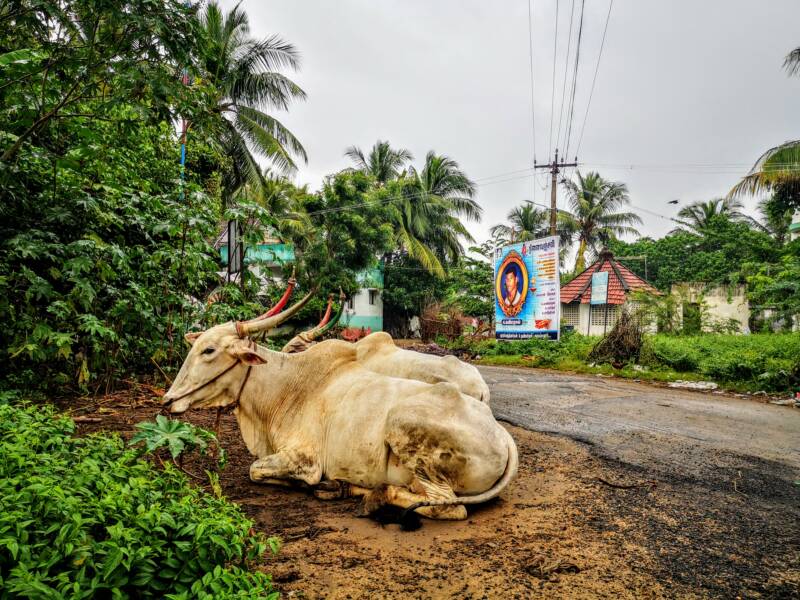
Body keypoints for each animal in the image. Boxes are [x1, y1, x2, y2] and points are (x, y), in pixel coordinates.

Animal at [168, 296, 520, 520]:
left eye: (209, 350)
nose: (169, 399)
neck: (285, 386)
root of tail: (504, 437)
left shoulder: (304, 459)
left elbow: (256, 470)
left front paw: (315, 484)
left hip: (403, 426)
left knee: (448, 505)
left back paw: (375, 496)